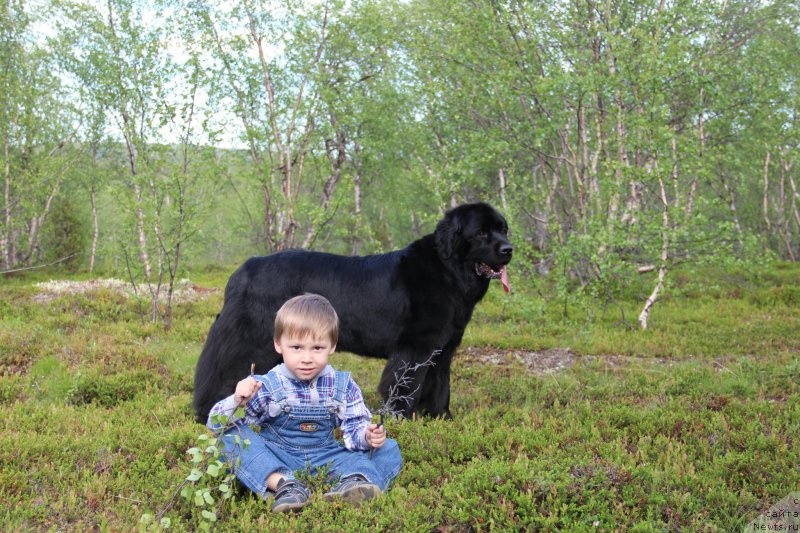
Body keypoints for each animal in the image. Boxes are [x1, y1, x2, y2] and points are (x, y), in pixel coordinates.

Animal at [197, 202, 516, 422]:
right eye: (481, 232)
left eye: (503, 229)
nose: (509, 249)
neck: (449, 269)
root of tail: (244, 270)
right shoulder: (416, 348)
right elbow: (404, 385)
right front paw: (400, 419)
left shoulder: (443, 349)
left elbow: (439, 385)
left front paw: (441, 419)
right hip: (251, 340)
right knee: (224, 372)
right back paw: (210, 412)